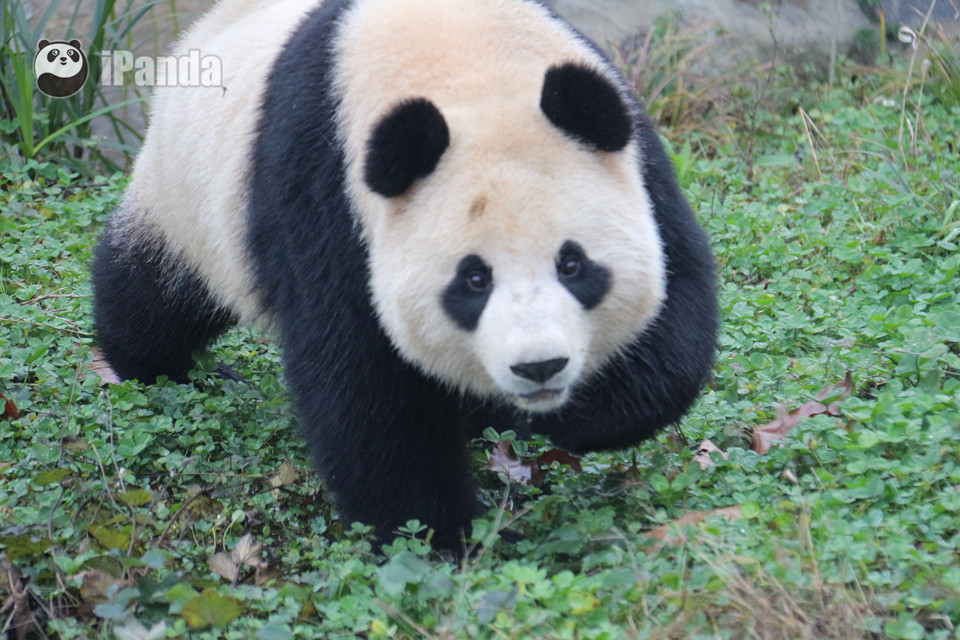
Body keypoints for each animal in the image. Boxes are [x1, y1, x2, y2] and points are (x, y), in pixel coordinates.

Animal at [92, 0, 720, 552]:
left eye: (573, 265)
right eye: (473, 281)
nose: (539, 367)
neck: (468, 68)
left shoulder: (633, 154)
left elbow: (675, 321)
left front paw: (551, 416)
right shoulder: (328, 192)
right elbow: (364, 385)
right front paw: (442, 537)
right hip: (186, 194)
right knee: (154, 293)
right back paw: (168, 369)